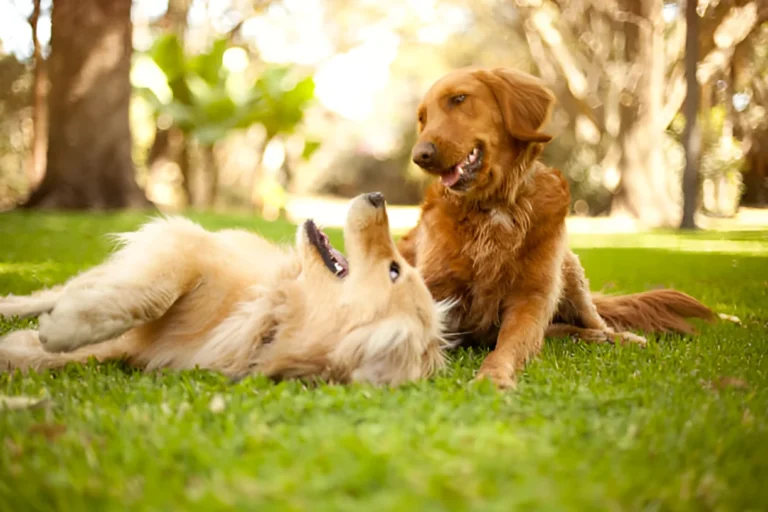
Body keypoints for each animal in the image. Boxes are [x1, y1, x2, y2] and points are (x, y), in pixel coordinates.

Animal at [0, 194, 450, 386]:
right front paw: (66, 328)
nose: (377, 195)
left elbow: (55, 356)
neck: (271, 315)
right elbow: (153, 295)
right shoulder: (186, 245)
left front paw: (28, 346)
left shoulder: (136, 349)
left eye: (394, 270)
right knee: (56, 292)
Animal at [400, 67, 716, 388]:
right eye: (422, 118)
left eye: (459, 99)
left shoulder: (531, 298)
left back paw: (618, 337)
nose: (420, 156)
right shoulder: (434, 288)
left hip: (571, 273)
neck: (495, 207)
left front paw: (493, 377)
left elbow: (510, 346)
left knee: (595, 321)